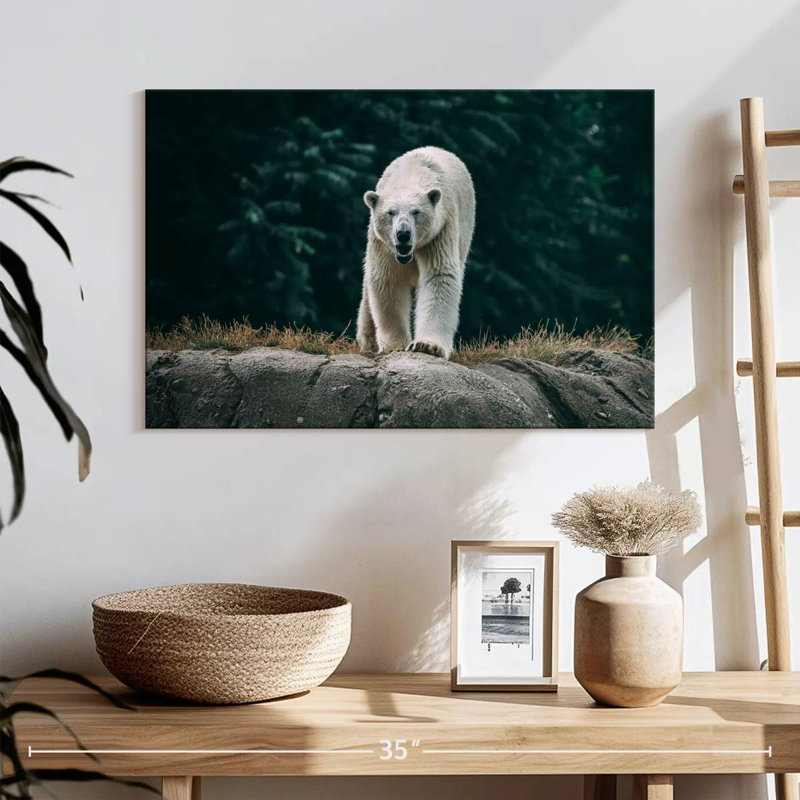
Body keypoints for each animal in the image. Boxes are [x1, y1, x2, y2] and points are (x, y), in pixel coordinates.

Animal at [357, 146, 475, 360]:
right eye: (391, 212)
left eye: (416, 212)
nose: (403, 234)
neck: (412, 173)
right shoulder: (383, 243)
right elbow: (388, 280)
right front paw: (395, 344)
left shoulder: (440, 231)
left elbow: (439, 277)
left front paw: (426, 345)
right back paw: (368, 340)